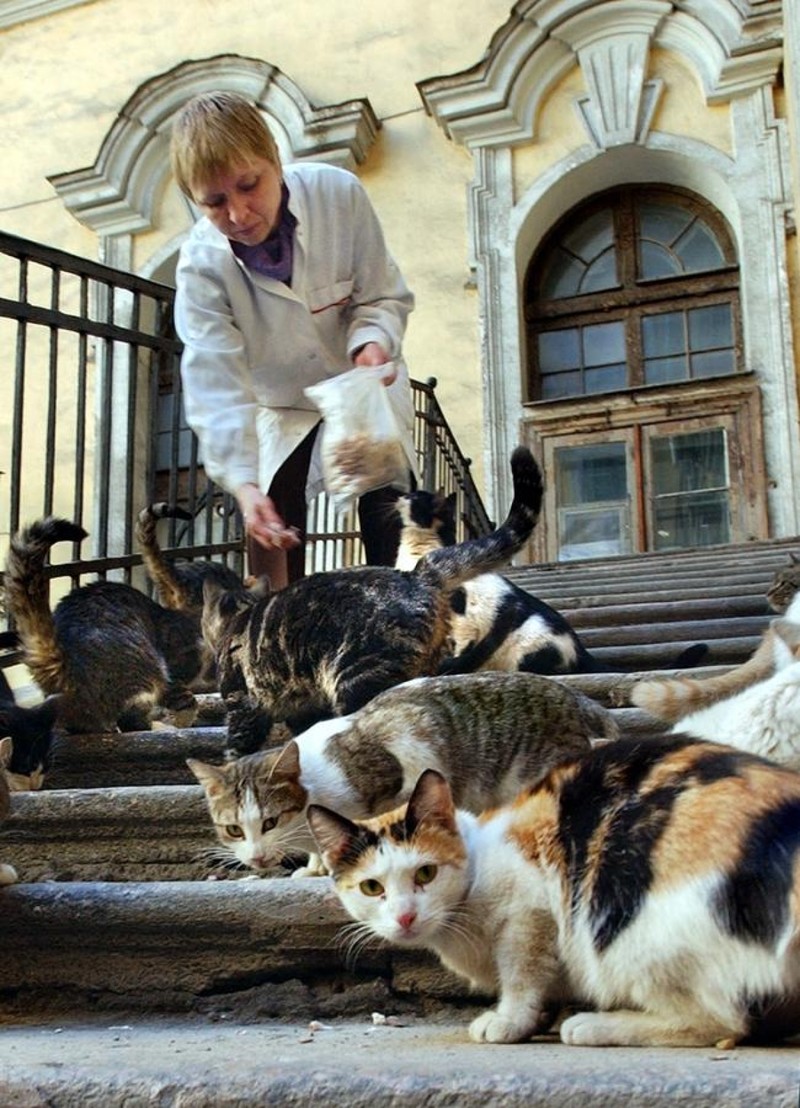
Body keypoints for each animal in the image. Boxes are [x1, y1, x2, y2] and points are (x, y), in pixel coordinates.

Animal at [187, 669, 616, 877]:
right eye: (233, 830)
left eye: (271, 821)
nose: (257, 858)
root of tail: (578, 700)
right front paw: (315, 866)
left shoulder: (401, 774)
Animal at [310, 740, 800, 1050]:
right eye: (372, 887)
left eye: (426, 873)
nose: (405, 916)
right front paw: (538, 1017)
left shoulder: (530, 910)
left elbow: (522, 973)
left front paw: (509, 1020)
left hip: (630, 931)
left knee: (721, 1021)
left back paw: (597, 1026)